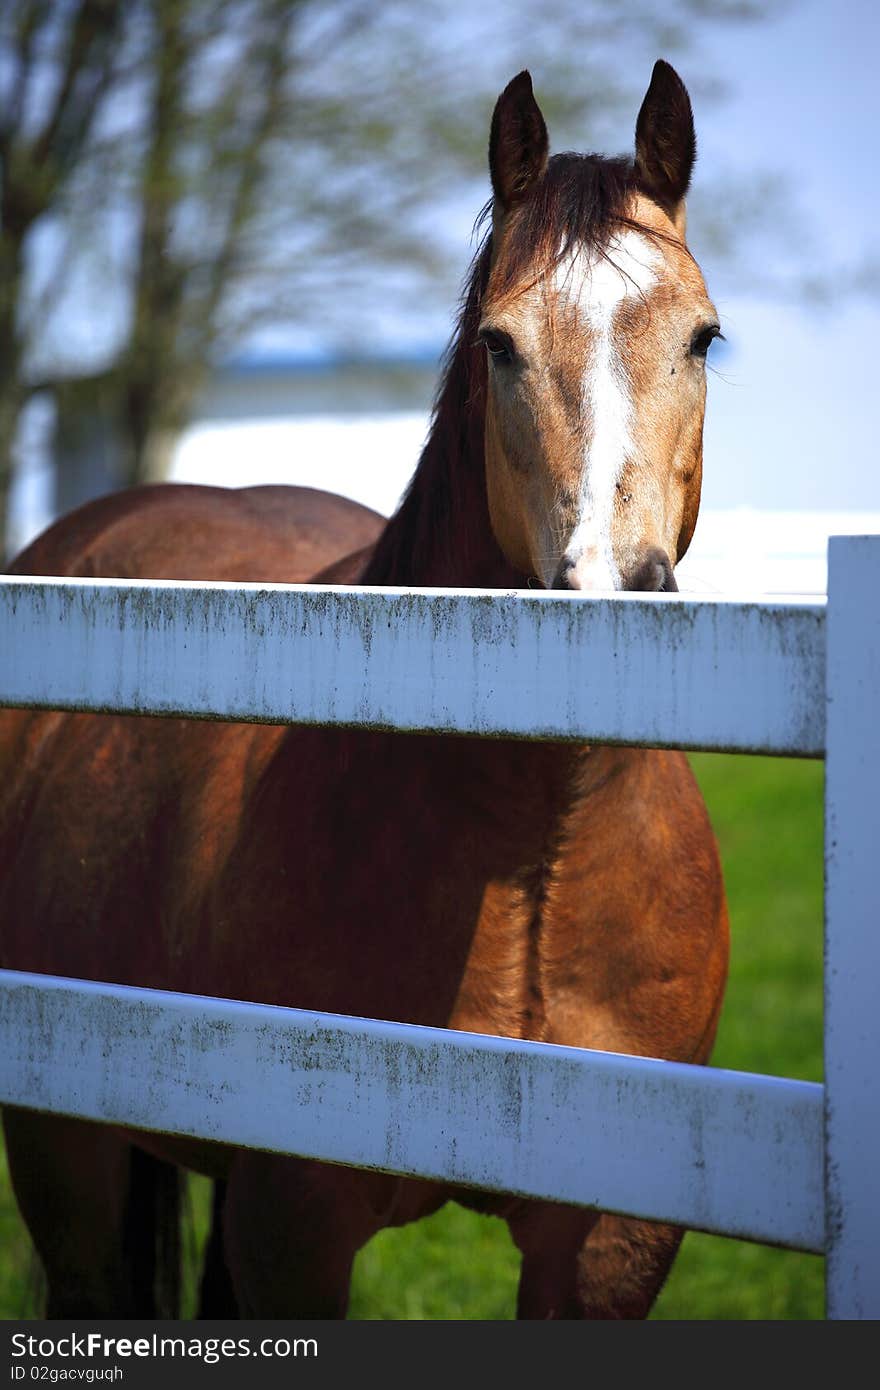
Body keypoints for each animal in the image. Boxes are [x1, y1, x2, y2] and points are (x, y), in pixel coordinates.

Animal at [0, 65, 728, 1317]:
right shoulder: (294, 1223)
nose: (607, 589)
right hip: (67, 1160)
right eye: (498, 346)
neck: (536, 856)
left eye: (702, 337)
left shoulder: (610, 1242)